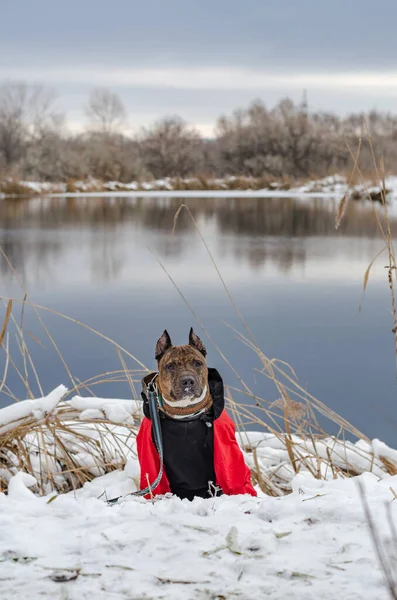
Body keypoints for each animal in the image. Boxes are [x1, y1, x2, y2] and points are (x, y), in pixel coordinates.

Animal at [136, 330, 255, 500]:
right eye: (170, 366)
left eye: (197, 363)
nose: (187, 381)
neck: (185, 415)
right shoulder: (150, 453)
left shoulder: (227, 448)